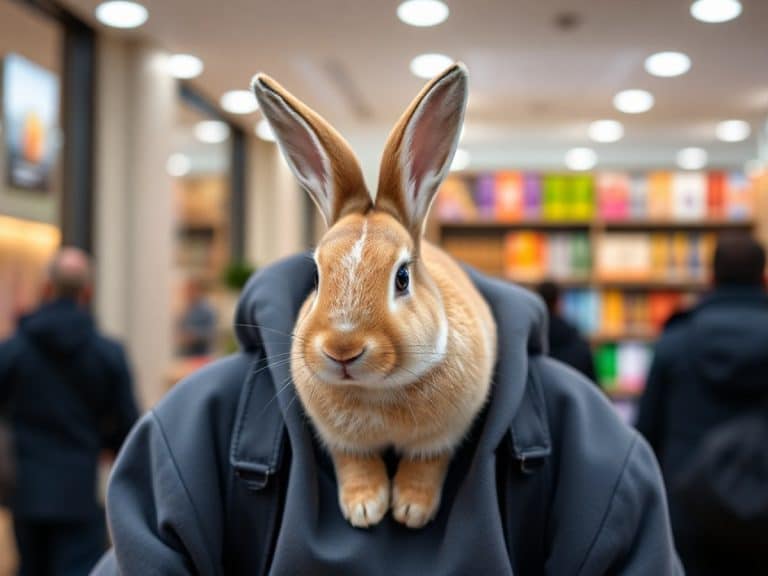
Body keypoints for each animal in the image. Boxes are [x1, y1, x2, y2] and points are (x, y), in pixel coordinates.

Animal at [251, 63, 497, 529]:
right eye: (317, 275)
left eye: (402, 278)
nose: (342, 350)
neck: (376, 392)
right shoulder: (342, 441)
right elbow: (355, 462)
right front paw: (364, 509)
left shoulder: (443, 435)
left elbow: (426, 463)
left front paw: (411, 511)